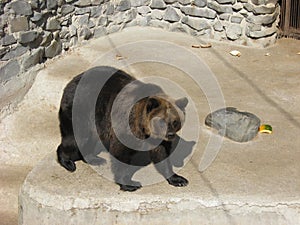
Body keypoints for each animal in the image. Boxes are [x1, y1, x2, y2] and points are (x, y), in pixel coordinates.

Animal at [57, 66, 191, 191]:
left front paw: (178, 179)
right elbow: (120, 152)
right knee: (77, 138)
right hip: (81, 109)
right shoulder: (126, 124)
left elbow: (162, 154)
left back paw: (94, 159)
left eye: (175, 121)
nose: (170, 135)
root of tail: (71, 81)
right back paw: (67, 162)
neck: (144, 128)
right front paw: (130, 183)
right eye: (161, 121)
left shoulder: (156, 138)